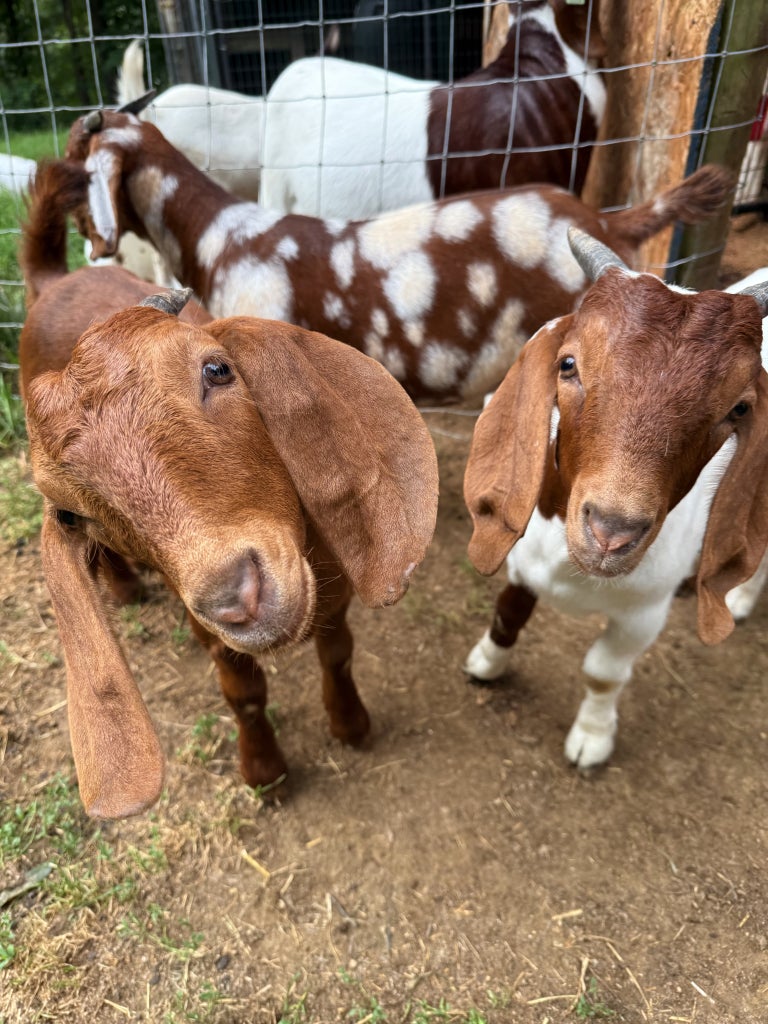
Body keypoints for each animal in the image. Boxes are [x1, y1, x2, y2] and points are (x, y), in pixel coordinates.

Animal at [24, 295, 439, 818]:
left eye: (218, 369)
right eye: (69, 514)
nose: (238, 597)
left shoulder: (337, 598)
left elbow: (339, 656)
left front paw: (351, 725)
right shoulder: (214, 637)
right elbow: (245, 697)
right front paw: (266, 773)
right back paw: (124, 586)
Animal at [463, 227, 768, 769]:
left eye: (738, 409)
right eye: (568, 364)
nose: (610, 532)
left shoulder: (643, 614)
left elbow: (603, 671)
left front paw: (592, 738)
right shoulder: (522, 564)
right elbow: (508, 612)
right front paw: (486, 662)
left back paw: (744, 597)